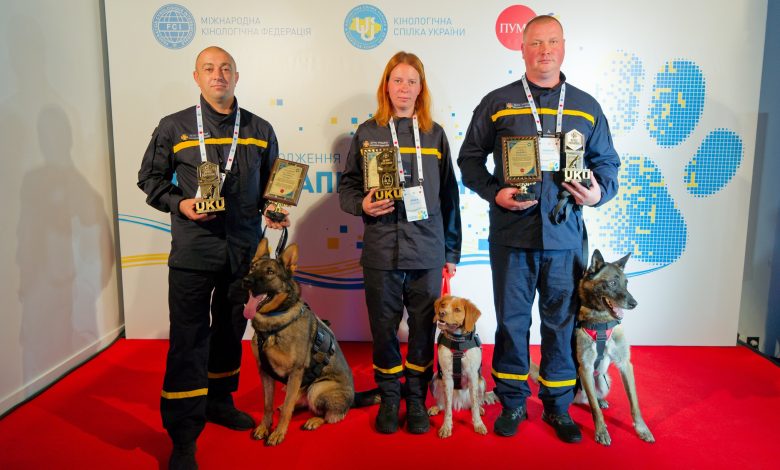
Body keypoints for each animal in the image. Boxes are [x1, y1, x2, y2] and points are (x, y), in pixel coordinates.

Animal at [242, 239, 374, 444]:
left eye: (270, 272)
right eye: (252, 267)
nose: (246, 280)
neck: (273, 324)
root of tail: (353, 398)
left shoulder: (295, 372)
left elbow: (287, 409)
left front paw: (278, 433)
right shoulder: (264, 372)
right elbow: (267, 405)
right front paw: (264, 427)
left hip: (317, 387)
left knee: (329, 415)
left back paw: (314, 420)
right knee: (297, 401)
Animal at [576, 250, 656, 444]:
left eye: (626, 283)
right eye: (612, 283)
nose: (634, 304)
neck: (601, 321)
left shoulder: (625, 364)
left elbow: (634, 403)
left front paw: (642, 429)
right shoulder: (585, 368)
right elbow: (595, 410)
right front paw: (601, 431)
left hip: (604, 381)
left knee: (595, 397)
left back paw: (601, 401)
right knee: (588, 400)